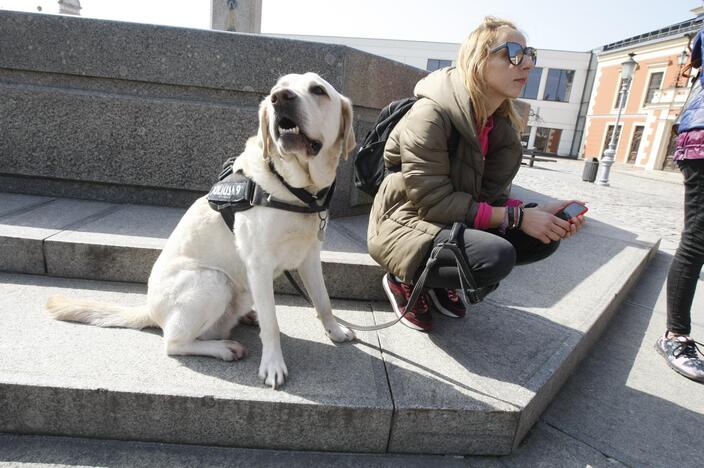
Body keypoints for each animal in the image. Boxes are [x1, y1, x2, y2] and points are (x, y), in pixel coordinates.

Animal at [46, 73, 358, 388]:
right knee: (174, 343)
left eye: (318, 90)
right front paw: (272, 364)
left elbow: (323, 300)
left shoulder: (310, 256)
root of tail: (151, 311)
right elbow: (272, 323)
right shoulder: (258, 265)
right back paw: (223, 348)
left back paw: (247, 316)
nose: (280, 98)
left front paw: (335, 330)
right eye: (277, 90)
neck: (298, 192)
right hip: (213, 281)